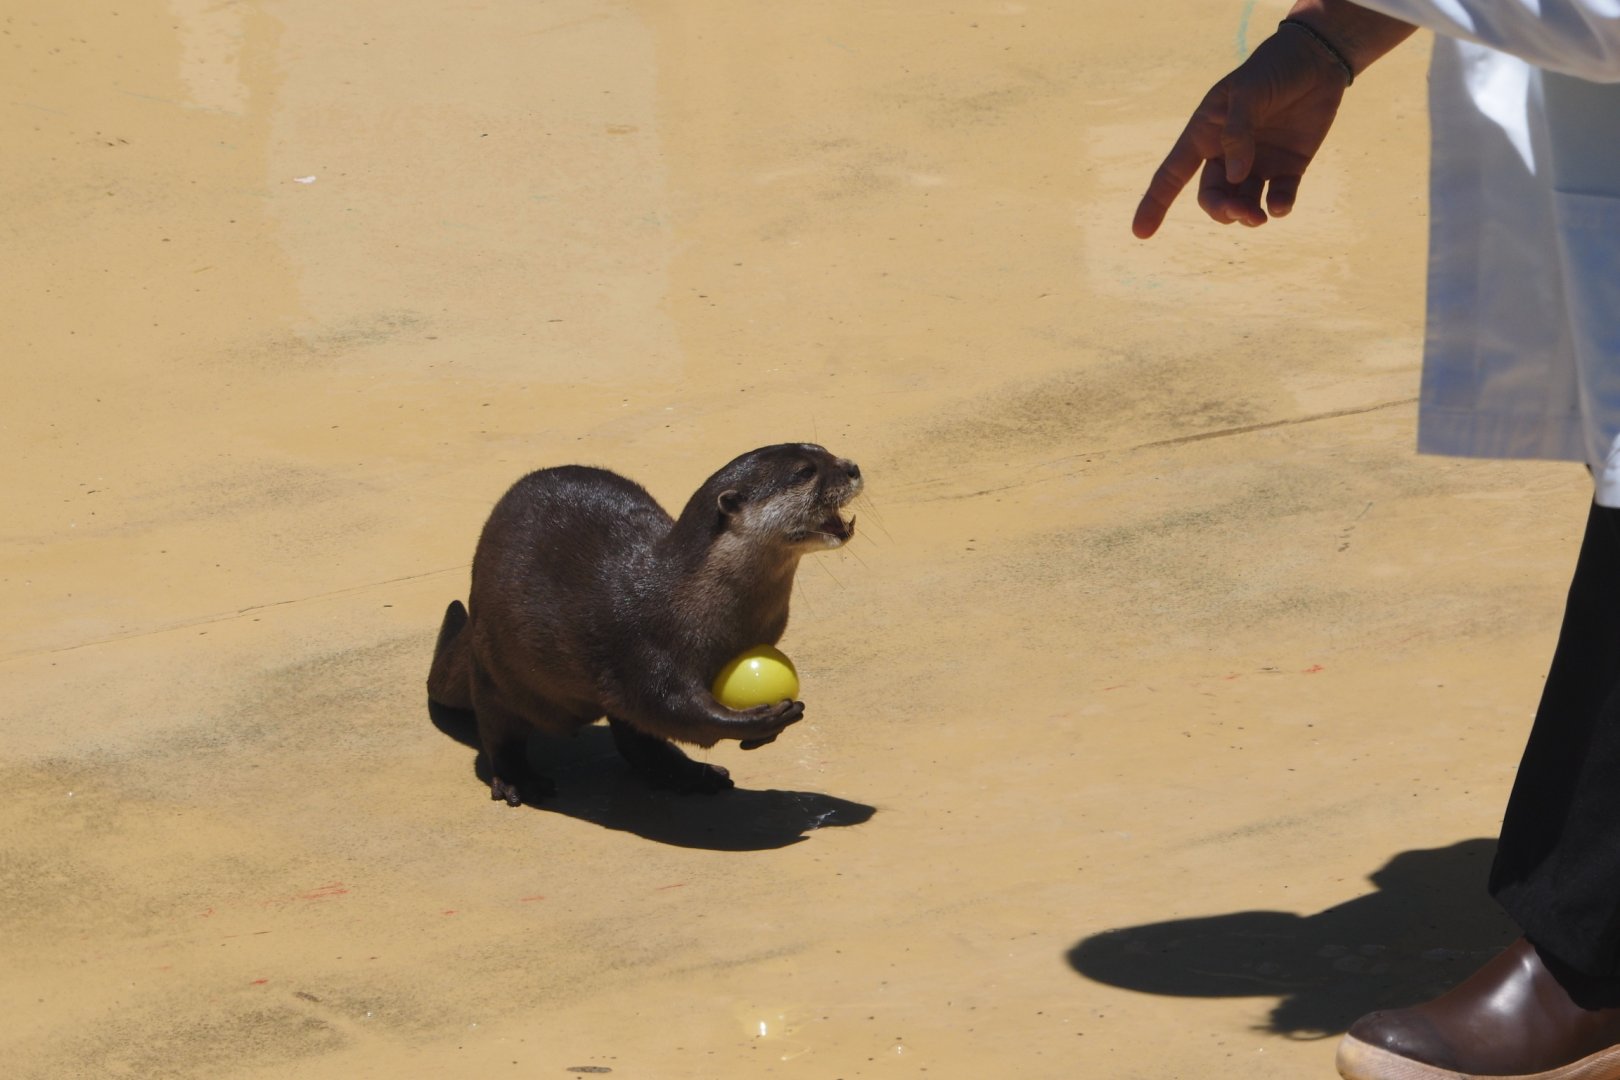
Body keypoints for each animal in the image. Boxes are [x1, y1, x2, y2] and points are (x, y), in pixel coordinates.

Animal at [427, 443, 862, 805]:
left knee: (634, 740)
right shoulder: (642, 649)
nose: (852, 466)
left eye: (826, 450)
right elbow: (671, 708)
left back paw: (689, 775)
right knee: (499, 726)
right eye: (805, 471)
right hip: (497, 667)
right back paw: (519, 780)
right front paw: (757, 721)